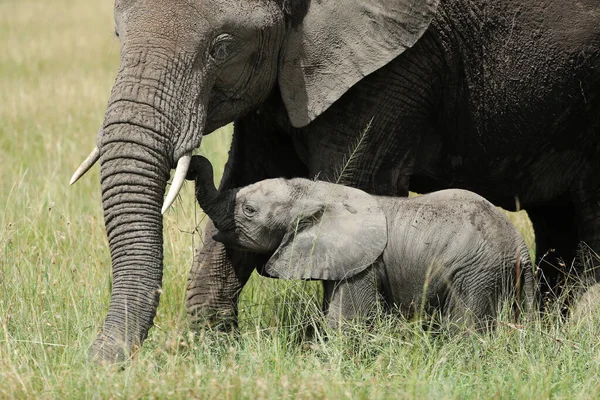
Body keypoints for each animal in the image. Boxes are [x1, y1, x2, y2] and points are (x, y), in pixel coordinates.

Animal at [188, 155, 536, 328]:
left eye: (249, 210)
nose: (191, 162)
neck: (318, 192)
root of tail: (520, 244)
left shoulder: (361, 267)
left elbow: (346, 321)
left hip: (477, 273)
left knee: (465, 328)